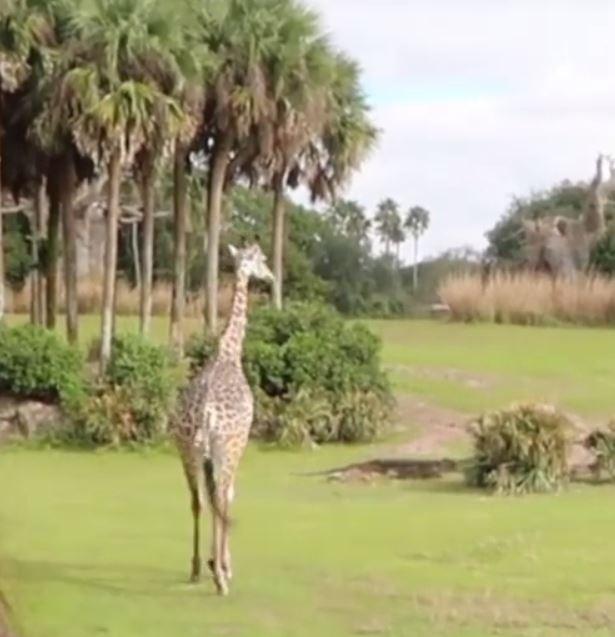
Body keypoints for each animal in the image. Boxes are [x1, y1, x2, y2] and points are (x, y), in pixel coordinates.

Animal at [170, 243, 274, 596]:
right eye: (262, 260)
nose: (271, 277)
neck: (229, 354)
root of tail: (205, 415)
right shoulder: (239, 444)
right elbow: (228, 498)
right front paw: (224, 564)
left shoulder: (201, 456)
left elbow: (212, 501)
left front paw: (213, 562)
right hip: (224, 449)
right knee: (219, 498)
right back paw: (220, 580)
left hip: (186, 451)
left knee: (197, 500)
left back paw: (195, 568)